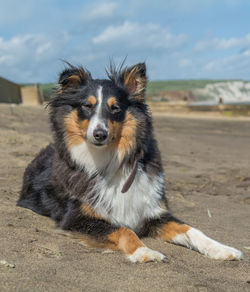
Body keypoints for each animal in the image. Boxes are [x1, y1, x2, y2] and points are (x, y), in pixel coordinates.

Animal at [17, 62, 242, 262]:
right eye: (87, 106)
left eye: (115, 108)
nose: (100, 134)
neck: (109, 159)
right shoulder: (76, 218)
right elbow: (124, 229)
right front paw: (144, 252)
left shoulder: (153, 212)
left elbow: (192, 230)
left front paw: (222, 249)